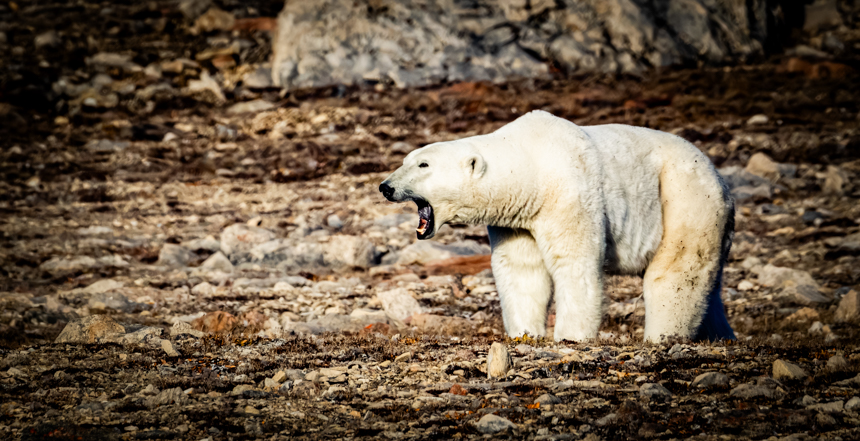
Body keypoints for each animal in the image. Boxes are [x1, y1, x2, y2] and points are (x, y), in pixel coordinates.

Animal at [379, 110, 735, 342]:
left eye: (423, 165)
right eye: (406, 160)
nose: (385, 186)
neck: (532, 162)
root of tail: (721, 180)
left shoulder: (568, 192)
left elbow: (575, 262)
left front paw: (570, 337)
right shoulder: (517, 219)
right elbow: (522, 270)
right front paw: (525, 333)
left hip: (683, 196)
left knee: (677, 269)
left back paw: (663, 336)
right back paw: (721, 336)